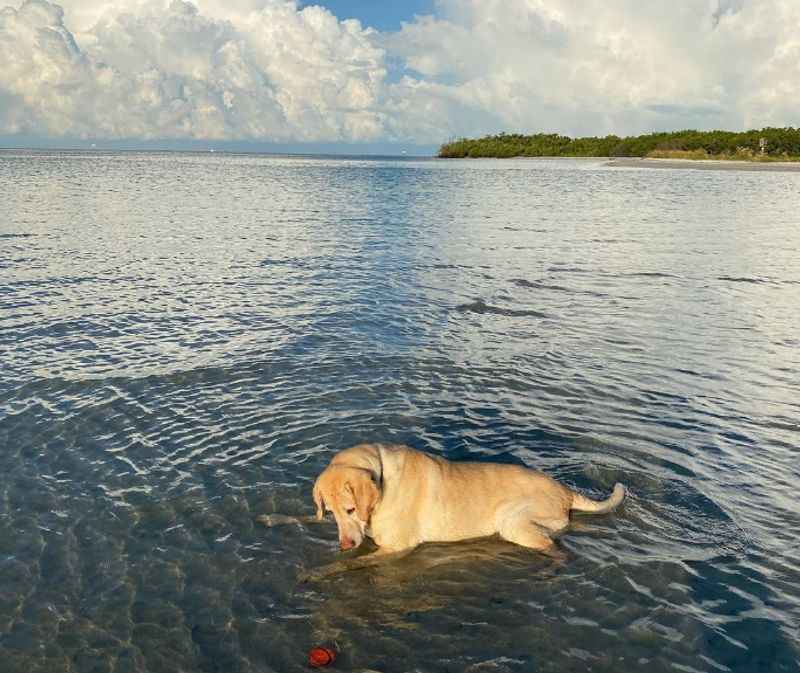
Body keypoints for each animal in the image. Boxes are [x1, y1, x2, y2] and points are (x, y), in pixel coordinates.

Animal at [310, 444, 620, 568]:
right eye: (332, 513)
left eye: (350, 509)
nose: (344, 545)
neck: (383, 480)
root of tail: (565, 490)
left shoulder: (396, 548)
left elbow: (346, 565)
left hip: (512, 521)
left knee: (552, 547)